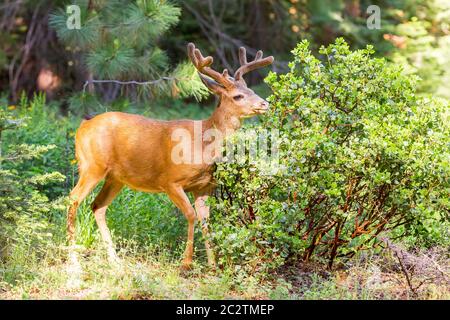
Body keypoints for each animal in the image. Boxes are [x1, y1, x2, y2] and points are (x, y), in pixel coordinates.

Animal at [67, 41, 274, 268]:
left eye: (250, 90)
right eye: (238, 96)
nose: (265, 104)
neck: (203, 144)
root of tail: (82, 126)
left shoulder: (204, 187)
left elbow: (206, 222)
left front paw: (213, 265)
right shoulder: (169, 181)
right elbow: (191, 216)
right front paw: (186, 262)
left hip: (115, 177)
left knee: (97, 206)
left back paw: (115, 260)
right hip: (92, 166)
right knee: (73, 198)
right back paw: (73, 260)